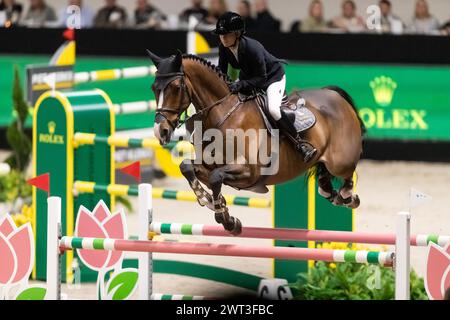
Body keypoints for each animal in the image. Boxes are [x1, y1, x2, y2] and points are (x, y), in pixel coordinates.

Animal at [148, 50, 366, 235]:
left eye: (176, 87)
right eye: (153, 88)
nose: (161, 131)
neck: (223, 114)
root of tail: (334, 95)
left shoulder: (249, 172)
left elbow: (216, 177)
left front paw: (226, 219)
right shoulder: (209, 164)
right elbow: (188, 167)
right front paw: (210, 201)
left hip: (340, 161)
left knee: (347, 173)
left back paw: (348, 196)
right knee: (325, 181)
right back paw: (333, 192)